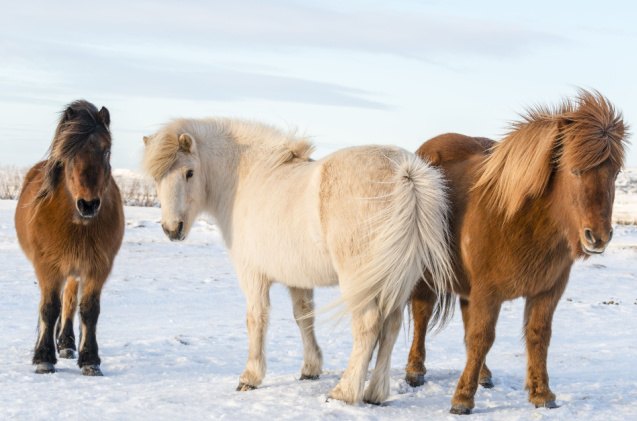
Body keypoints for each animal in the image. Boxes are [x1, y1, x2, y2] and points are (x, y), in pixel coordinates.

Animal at [14, 100, 123, 376]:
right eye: (69, 153)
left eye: (106, 151)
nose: (88, 204)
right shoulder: (48, 267)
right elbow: (49, 308)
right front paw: (43, 358)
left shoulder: (97, 267)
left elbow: (88, 310)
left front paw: (90, 360)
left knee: (70, 302)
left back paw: (66, 343)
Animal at [142, 117, 454, 404]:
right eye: (157, 178)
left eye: (189, 172)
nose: (172, 229)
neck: (247, 178)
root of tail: (406, 173)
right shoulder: (298, 278)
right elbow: (304, 317)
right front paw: (310, 368)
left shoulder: (252, 275)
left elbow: (256, 318)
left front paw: (250, 377)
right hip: (397, 282)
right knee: (391, 327)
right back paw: (375, 394)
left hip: (359, 282)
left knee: (367, 326)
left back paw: (344, 392)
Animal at [402, 89, 628, 414]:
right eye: (574, 169)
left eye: (615, 172)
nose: (597, 237)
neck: (519, 219)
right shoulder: (487, 291)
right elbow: (482, 337)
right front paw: (462, 399)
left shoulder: (547, 292)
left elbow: (537, 336)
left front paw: (542, 393)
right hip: (427, 274)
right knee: (422, 314)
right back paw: (415, 371)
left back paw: (483, 374)